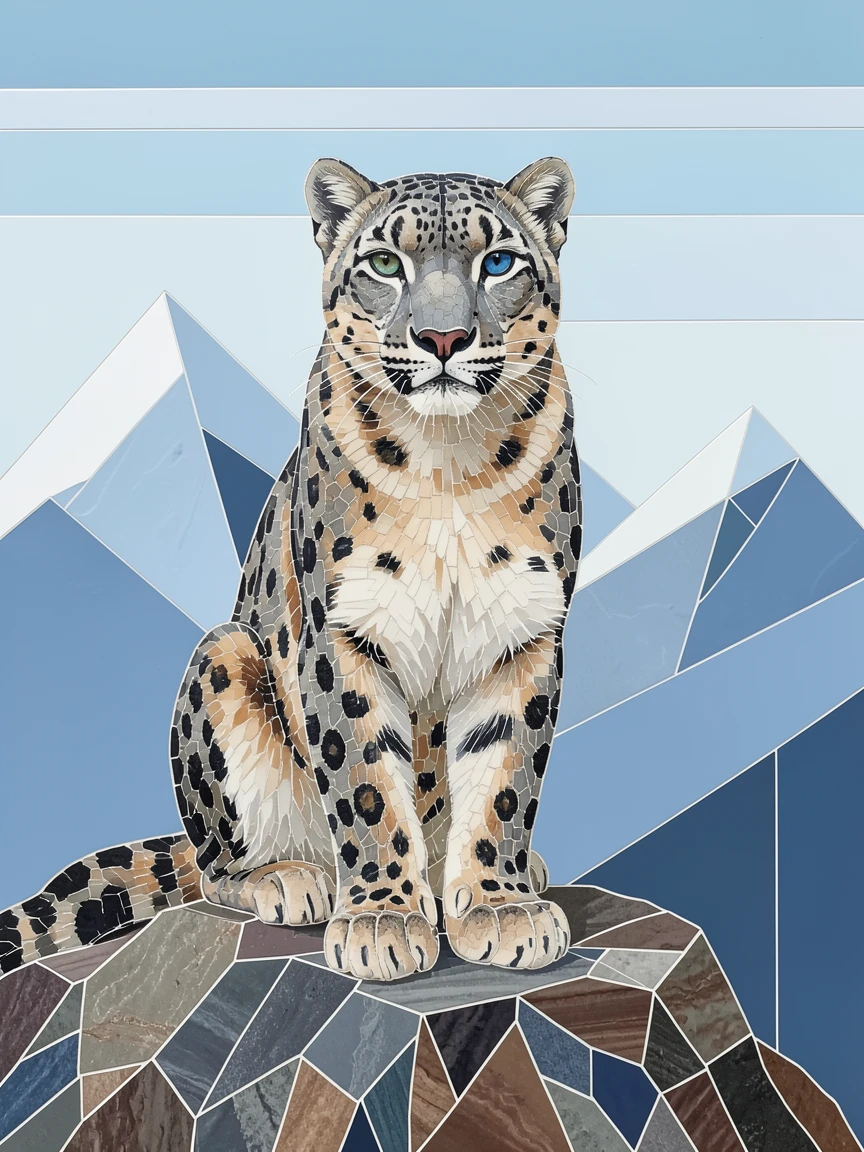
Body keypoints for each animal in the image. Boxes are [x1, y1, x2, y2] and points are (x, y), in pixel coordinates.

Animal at [0, 156, 581, 983]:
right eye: (385, 264)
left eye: (497, 262)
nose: (442, 336)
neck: (449, 464)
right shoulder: (345, 632)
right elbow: (366, 781)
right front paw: (383, 920)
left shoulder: (523, 632)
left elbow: (504, 779)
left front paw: (499, 907)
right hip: (225, 657)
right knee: (216, 865)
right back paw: (292, 880)